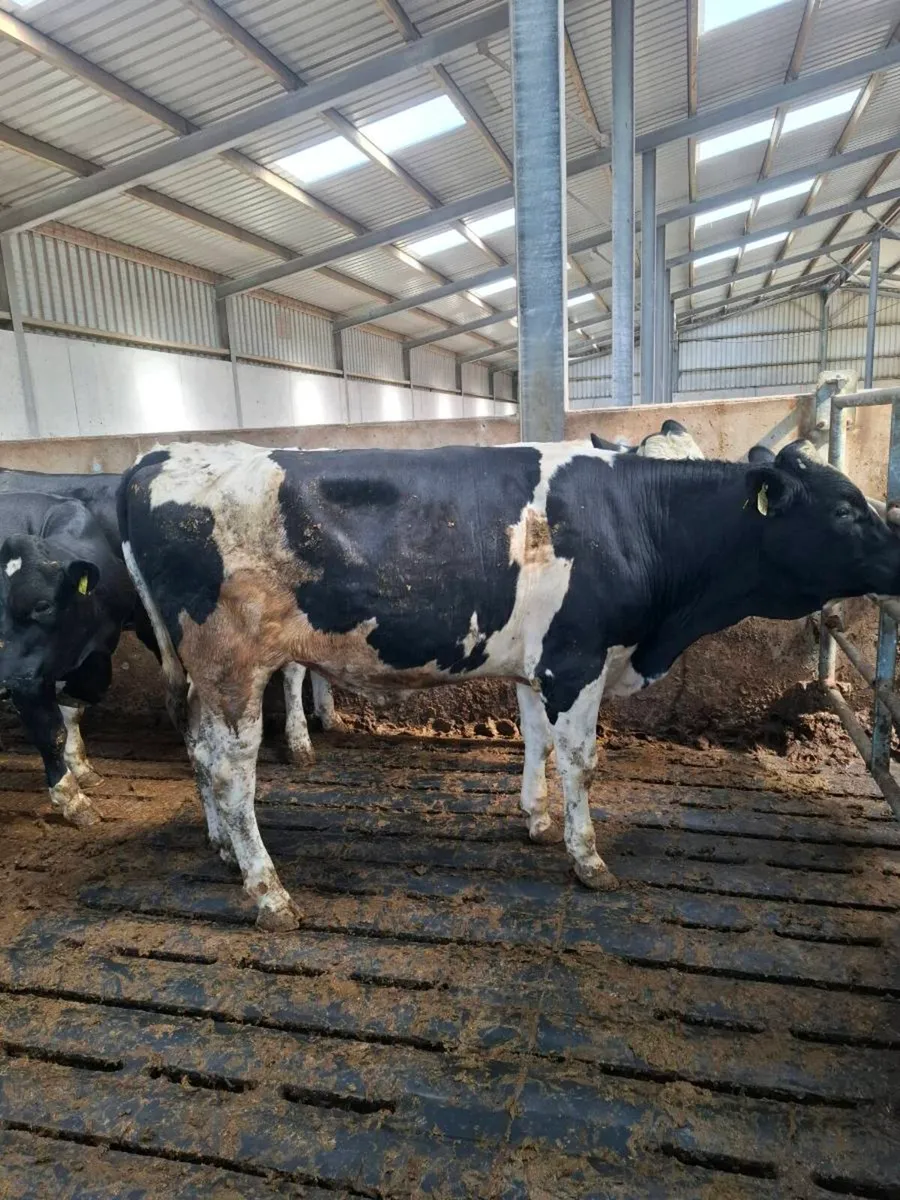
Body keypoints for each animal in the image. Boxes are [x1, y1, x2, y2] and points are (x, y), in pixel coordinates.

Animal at [0, 492, 139, 826]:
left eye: (43, 605)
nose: (3, 683)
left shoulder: (95, 658)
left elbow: (72, 713)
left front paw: (82, 768)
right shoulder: (27, 676)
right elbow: (50, 731)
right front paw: (71, 798)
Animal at [118, 438, 900, 930]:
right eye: (843, 508)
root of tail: (159, 458)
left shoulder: (540, 661)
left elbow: (535, 742)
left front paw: (536, 818)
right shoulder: (579, 658)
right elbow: (581, 759)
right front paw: (587, 857)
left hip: (200, 671)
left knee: (199, 750)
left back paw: (224, 849)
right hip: (231, 664)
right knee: (231, 768)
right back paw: (268, 891)